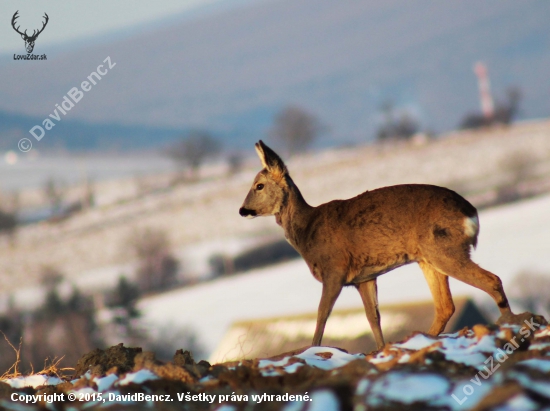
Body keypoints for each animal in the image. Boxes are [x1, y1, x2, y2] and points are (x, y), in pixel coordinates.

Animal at [240, 142, 516, 350]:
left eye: (259, 185)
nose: (243, 210)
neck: (307, 230)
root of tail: (470, 212)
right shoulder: (364, 277)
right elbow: (373, 317)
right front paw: (381, 348)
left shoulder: (335, 270)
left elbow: (322, 313)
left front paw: (313, 348)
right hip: (428, 258)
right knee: (445, 306)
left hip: (445, 249)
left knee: (491, 280)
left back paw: (508, 324)